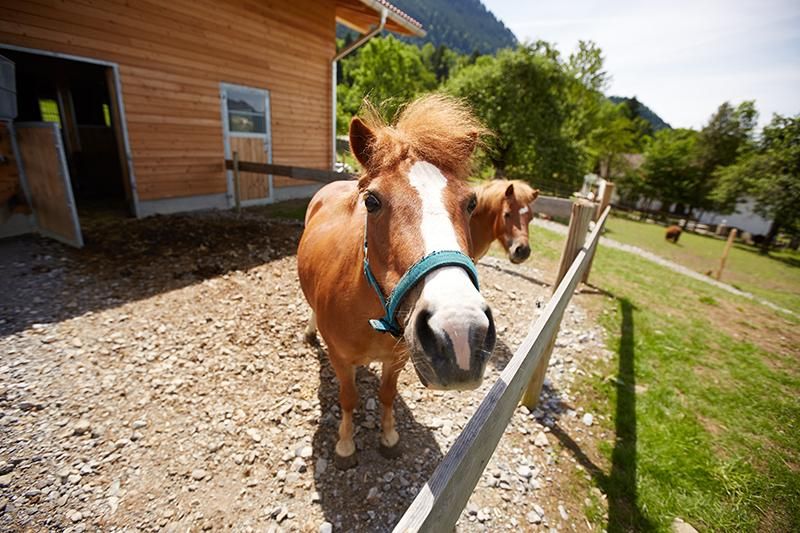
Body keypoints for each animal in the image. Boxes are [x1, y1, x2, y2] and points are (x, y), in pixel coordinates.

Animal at [297, 95, 496, 468]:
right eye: (372, 201)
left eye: (471, 203)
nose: (460, 333)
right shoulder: (341, 360)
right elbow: (348, 398)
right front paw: (345, 446)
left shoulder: (398, 360)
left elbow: (387, 395)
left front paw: (389, 438)